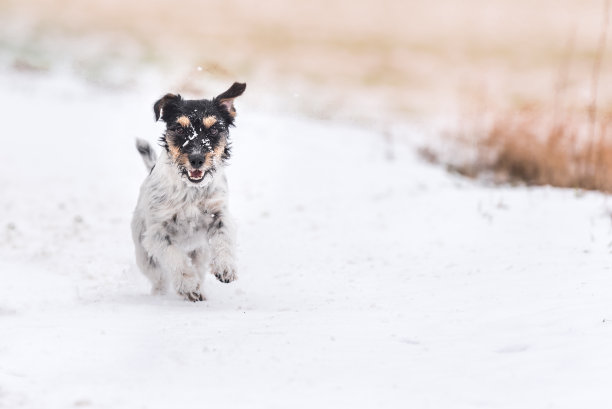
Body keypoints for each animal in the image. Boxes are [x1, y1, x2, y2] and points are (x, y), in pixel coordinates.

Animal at [131, 82, 246, 300]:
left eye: (214, 129)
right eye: (178, 128)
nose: (197, 159)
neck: (191, 191)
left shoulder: (219, 213)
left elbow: (223, 237)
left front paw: (225, 267)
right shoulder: (157, 233)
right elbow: (174, 257)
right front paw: (187, 285)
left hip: (200, 252)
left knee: (198, 267)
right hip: (146, 257)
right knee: (160, 278)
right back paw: (164, 295)